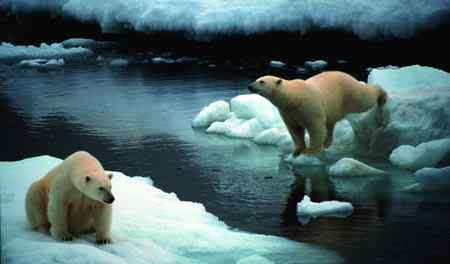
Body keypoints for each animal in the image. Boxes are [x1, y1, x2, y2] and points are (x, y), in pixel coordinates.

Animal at [246, 71, 386, 156]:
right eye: (256, 79)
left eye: (262, 81)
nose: (250, 86)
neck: (294, 98)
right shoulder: (287, 111)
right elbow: (295, 130)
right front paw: (296, 151)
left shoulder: (309, 106)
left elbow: (316, 128)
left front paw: (310, 151)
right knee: (330, 125)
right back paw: (327, 144)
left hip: (349, 92)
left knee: (364, 98)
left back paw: (382, 96)